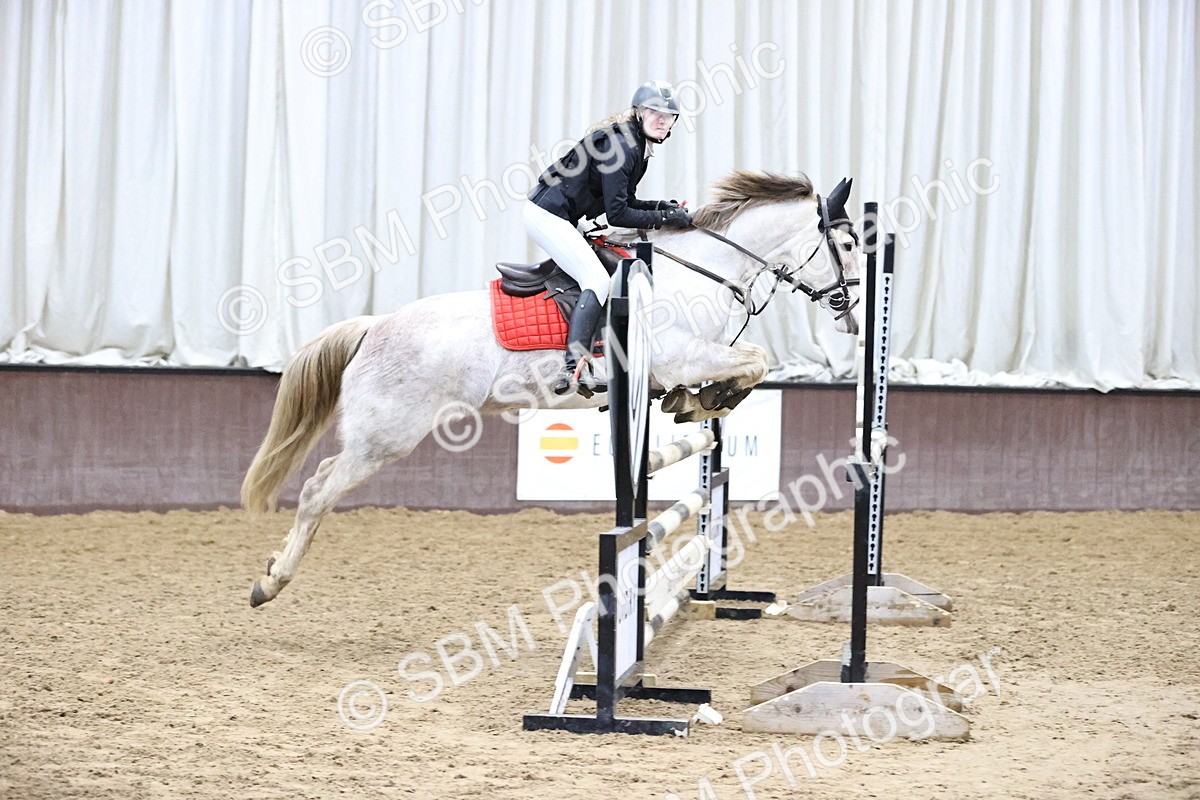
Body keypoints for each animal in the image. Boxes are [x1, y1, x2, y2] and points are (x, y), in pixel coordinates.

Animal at [242, 170, 864, 607]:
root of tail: (373, 326)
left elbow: (745, 369)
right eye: (850, 244)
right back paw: (270, 583)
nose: (852, 311)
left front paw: (698, 402)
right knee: (318, 490)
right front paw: (703, 400)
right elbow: (755, 361)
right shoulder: (681, 356)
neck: (699, 269)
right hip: (387, 436)